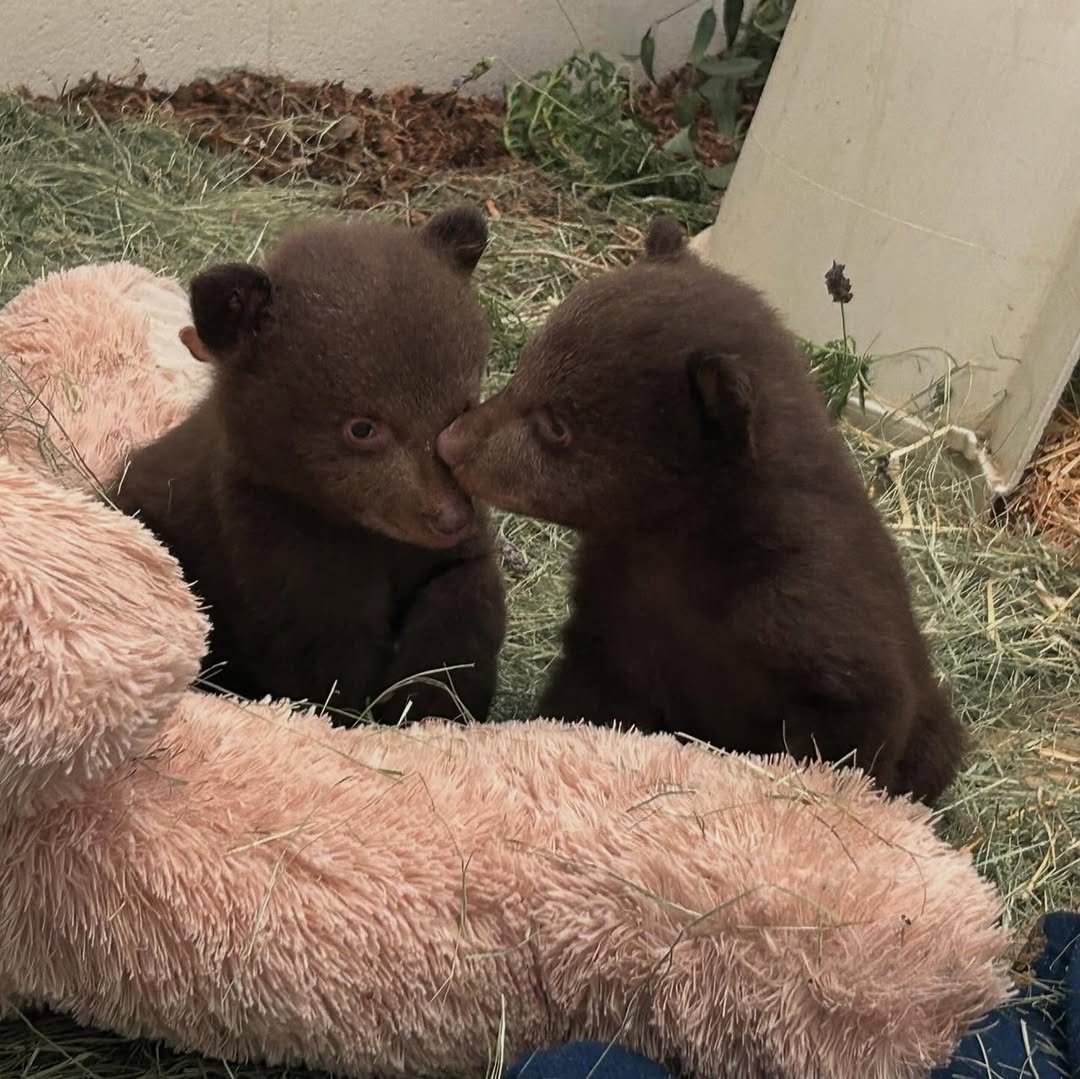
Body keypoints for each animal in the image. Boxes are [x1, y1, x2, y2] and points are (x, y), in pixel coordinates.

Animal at [109, 207, 506, 725]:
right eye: (362, 428)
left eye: (462, 407)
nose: (451, 516)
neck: (363, 535)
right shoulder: (279, 551)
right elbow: (322, 663)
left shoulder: (443, 556)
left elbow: (462, 597)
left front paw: (431, 701)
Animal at [435, 216, 965, 804]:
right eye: (524, 368)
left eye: (557, 425)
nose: (450, 443)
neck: (679, 540)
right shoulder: (614, 613)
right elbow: (589, 693)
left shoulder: (811, 608)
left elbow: (856, 721)